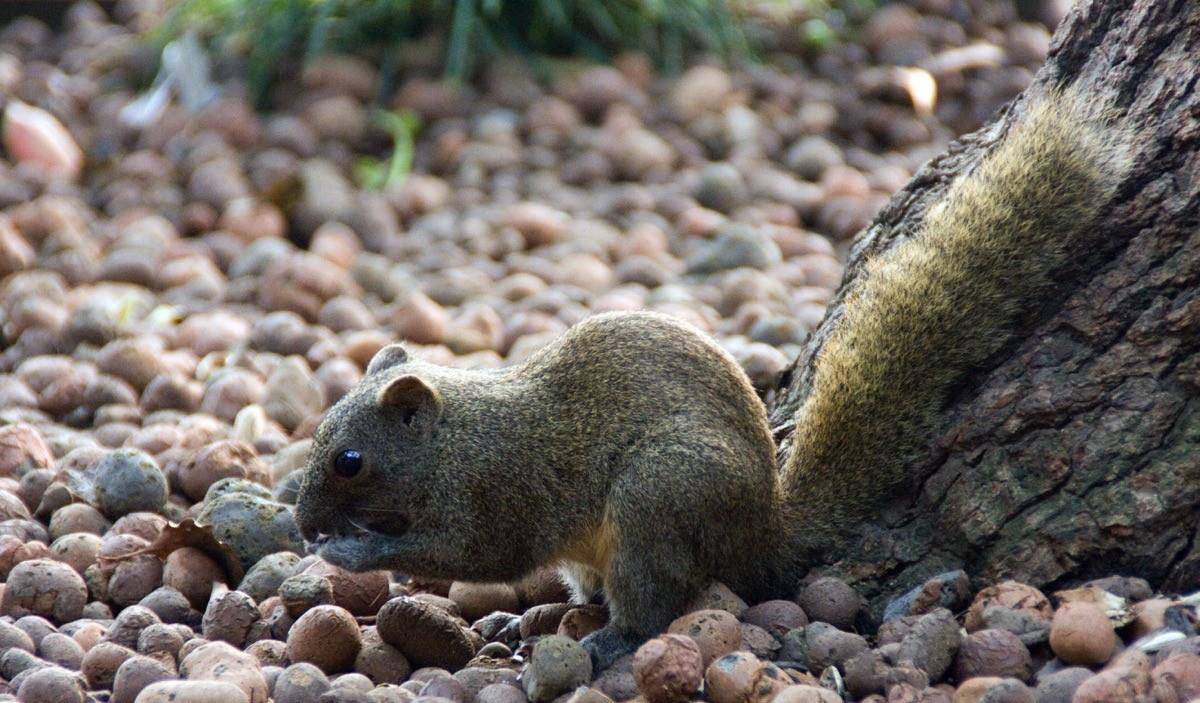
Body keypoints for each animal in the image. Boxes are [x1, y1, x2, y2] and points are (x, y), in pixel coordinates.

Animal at [292, 88, 1132, 667]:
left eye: (350, 460)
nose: (301, 524)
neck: (451, 440)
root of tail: (761, 525)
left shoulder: (495, 492)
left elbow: (470, 555)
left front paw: (350, 553)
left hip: (658, 498)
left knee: (653, 601)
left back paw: (606, 643)